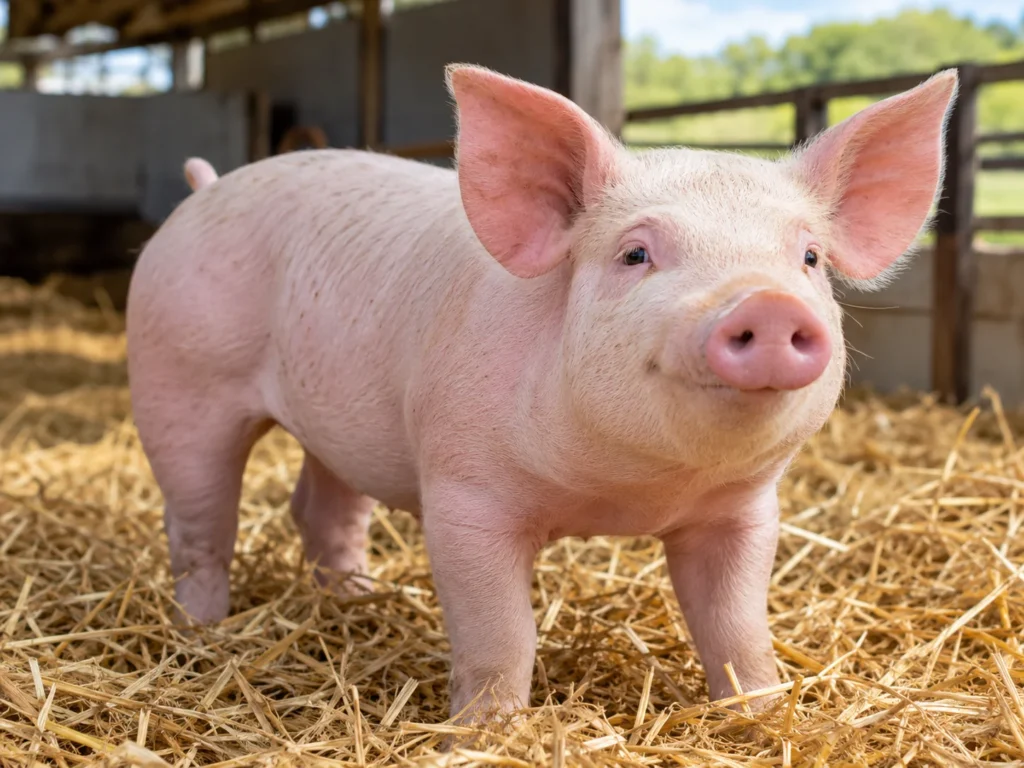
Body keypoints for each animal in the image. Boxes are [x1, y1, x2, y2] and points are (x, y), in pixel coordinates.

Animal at [125, 64, 957, 723]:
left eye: (808, 258)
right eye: (635, 254)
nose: (768, 304)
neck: (625, 494)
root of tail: (205, 189)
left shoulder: (744, 512)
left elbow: (736, 627)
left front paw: (761, 716)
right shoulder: (462, 496)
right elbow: (502, 634)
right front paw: (486, 732)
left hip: (339, 418)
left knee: (321, 511)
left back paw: (360, 601)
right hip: (179, 381)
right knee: (198, 525)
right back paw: (200, 634)